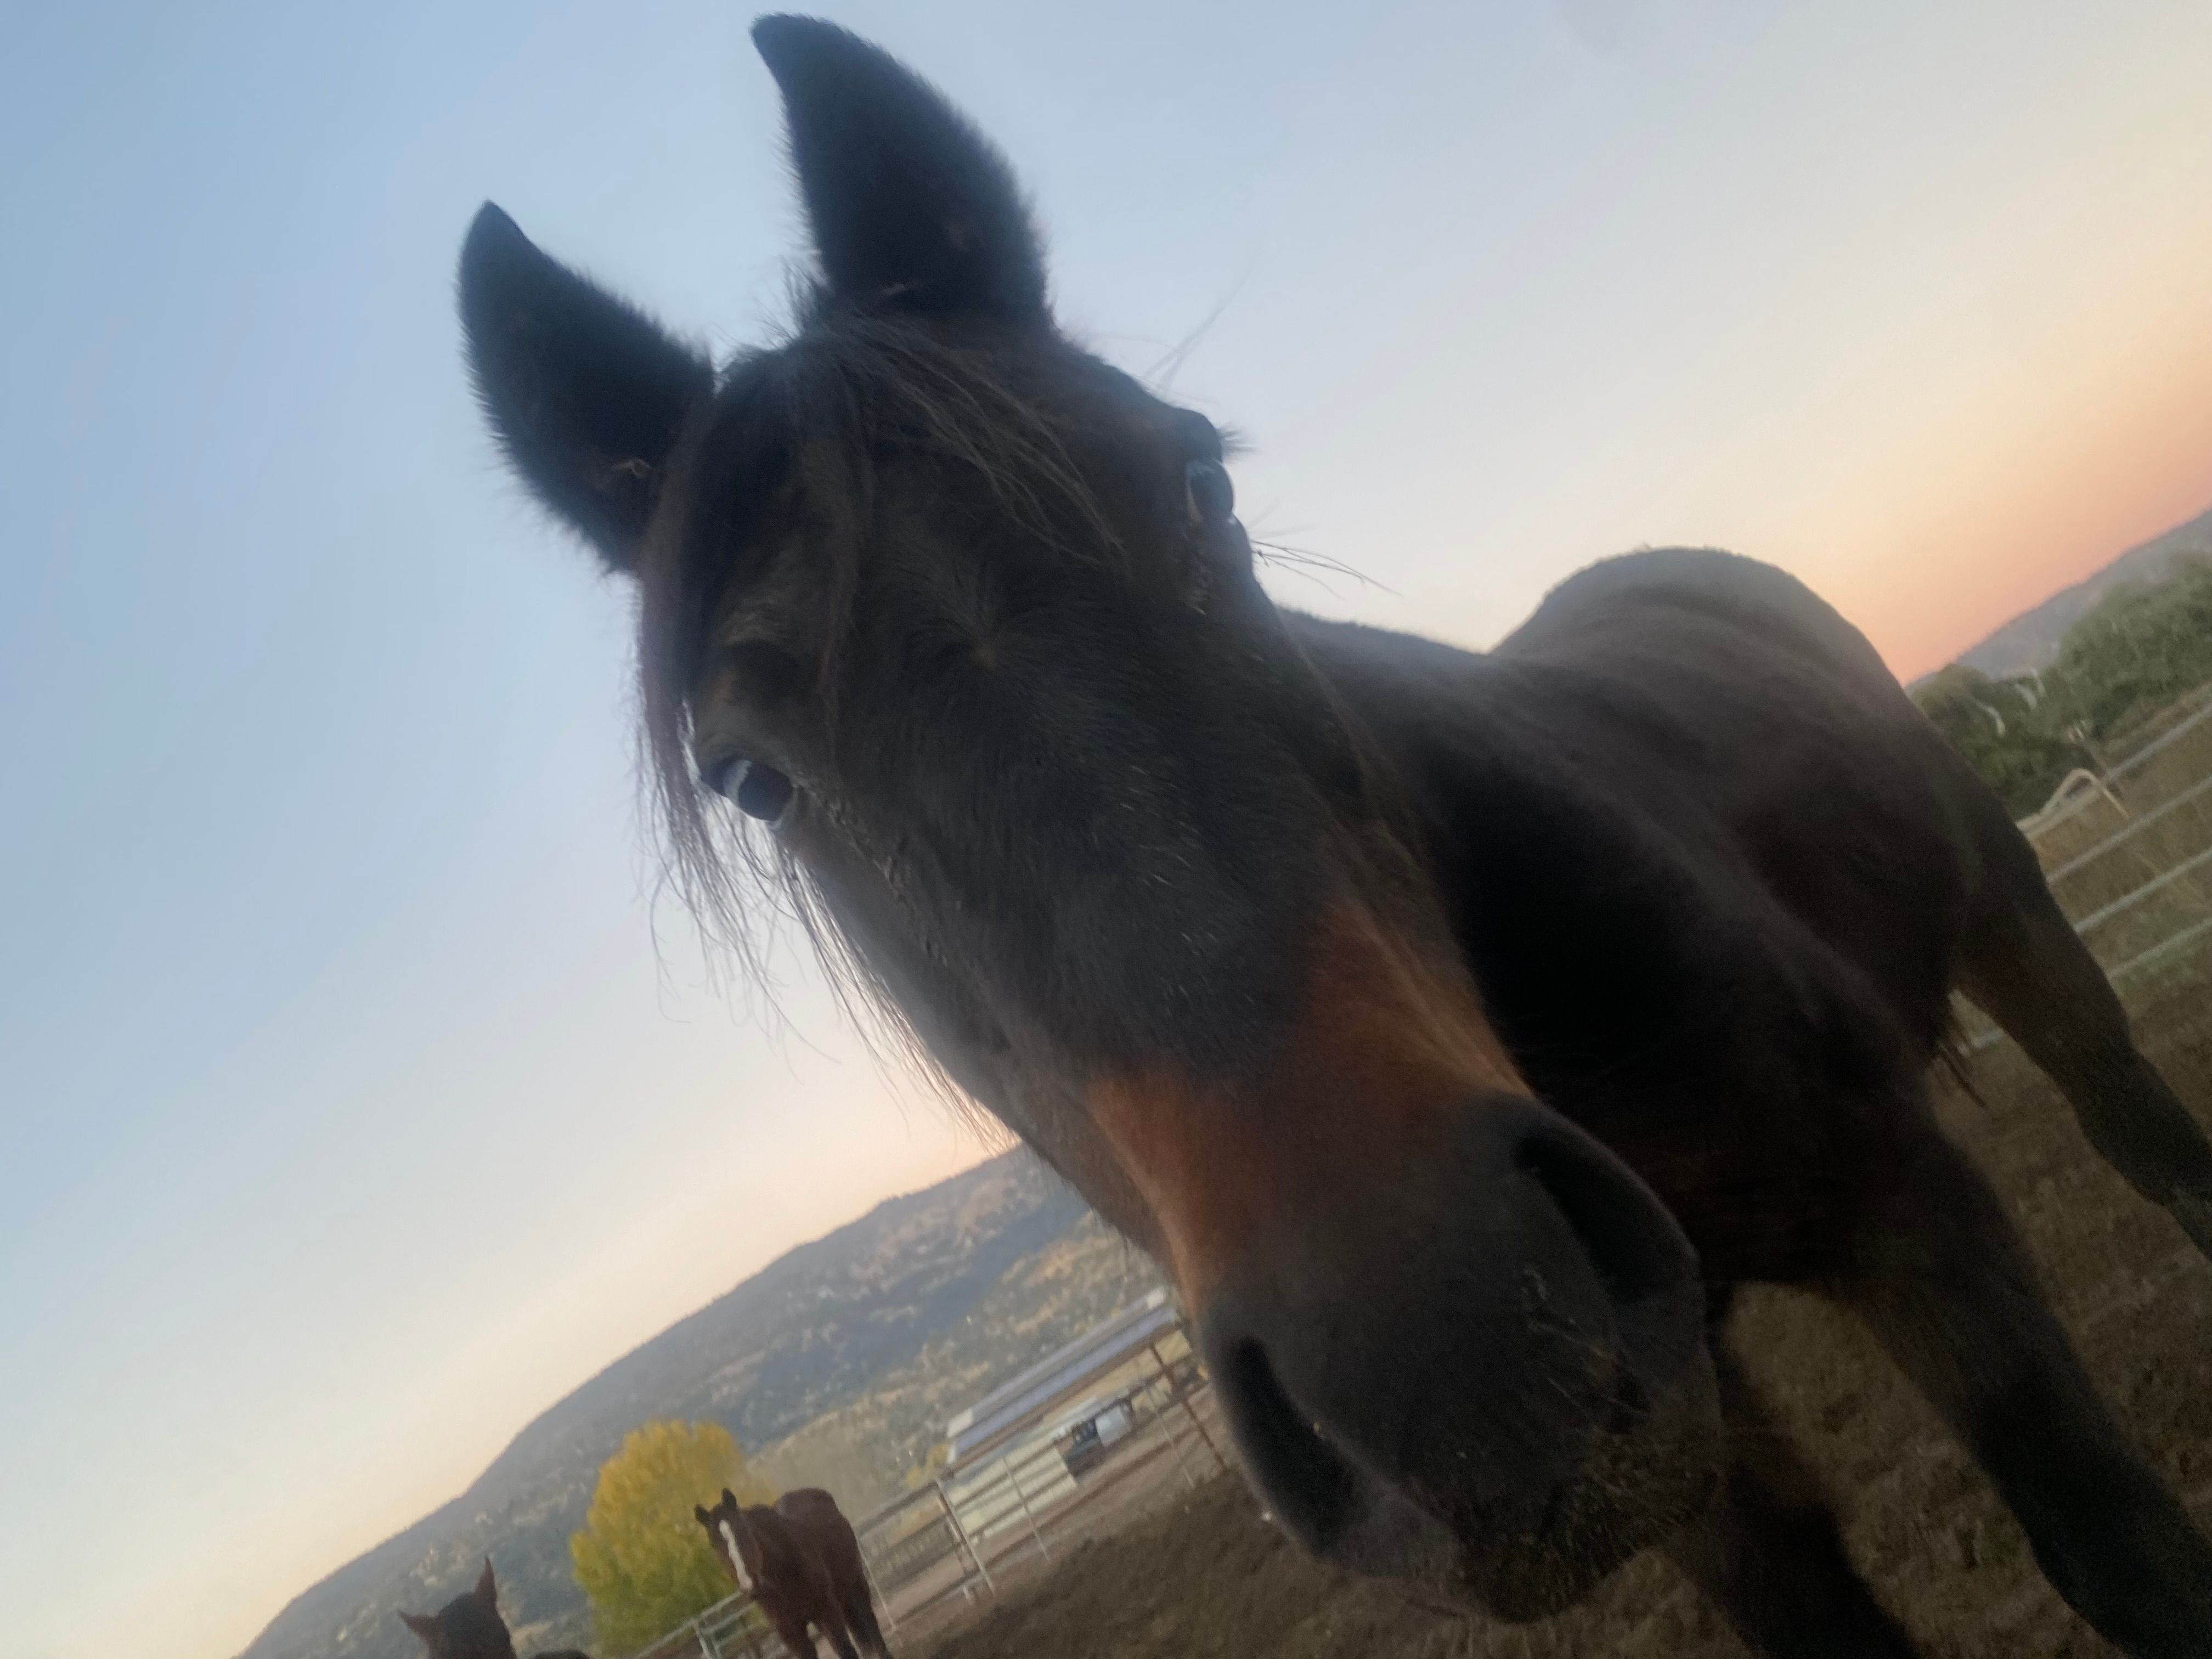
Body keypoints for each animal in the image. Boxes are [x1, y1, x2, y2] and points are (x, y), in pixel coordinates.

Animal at [694, 1486, 890, 1659]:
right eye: (713, 1544)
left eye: (744, 1530)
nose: (750, 1585)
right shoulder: (789, 1631)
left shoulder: (827, 1611)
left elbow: (846, 1651)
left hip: (855, 1583)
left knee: (871, 1623)